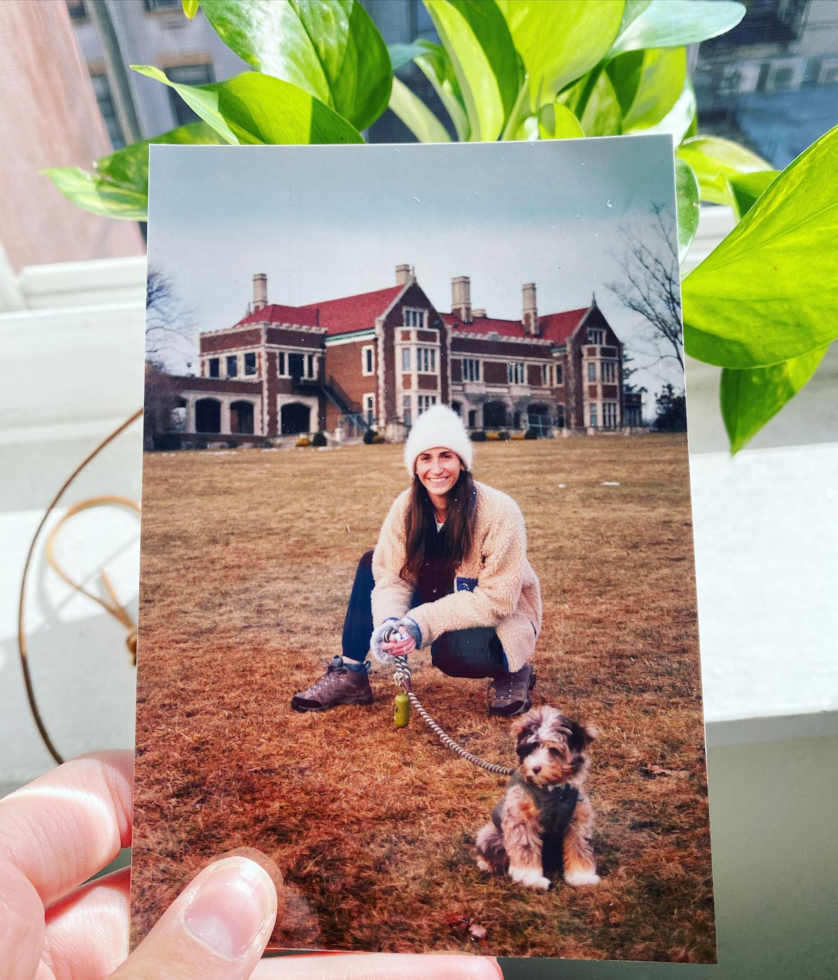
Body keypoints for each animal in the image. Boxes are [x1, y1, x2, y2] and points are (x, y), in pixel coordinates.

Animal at [476, 704, 600, 888]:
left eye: (553, 750)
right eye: (530, 748)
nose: (535, 768)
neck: (553, 791)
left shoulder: (578, 819)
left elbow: (579, 847)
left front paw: (582, 876)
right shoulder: (521, 819)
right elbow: (526, 848)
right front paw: (531, 878)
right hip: (491, 835)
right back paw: (486, 864)